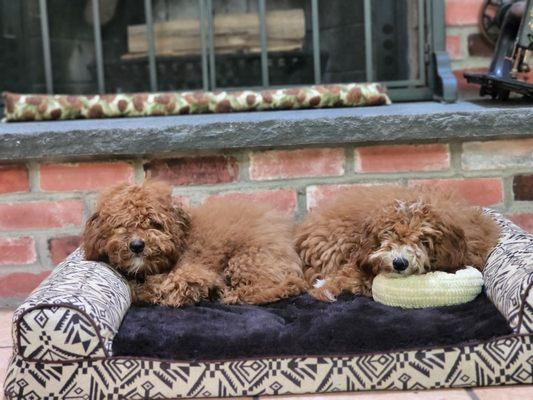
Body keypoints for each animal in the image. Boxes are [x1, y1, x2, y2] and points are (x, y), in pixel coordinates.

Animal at [84, 181, 308, 306]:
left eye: (155, 224)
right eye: (121, 225)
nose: (137, 245)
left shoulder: (192, 272)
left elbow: (167, 286)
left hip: (247, 259)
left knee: (282, 286)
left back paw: (232, 294)